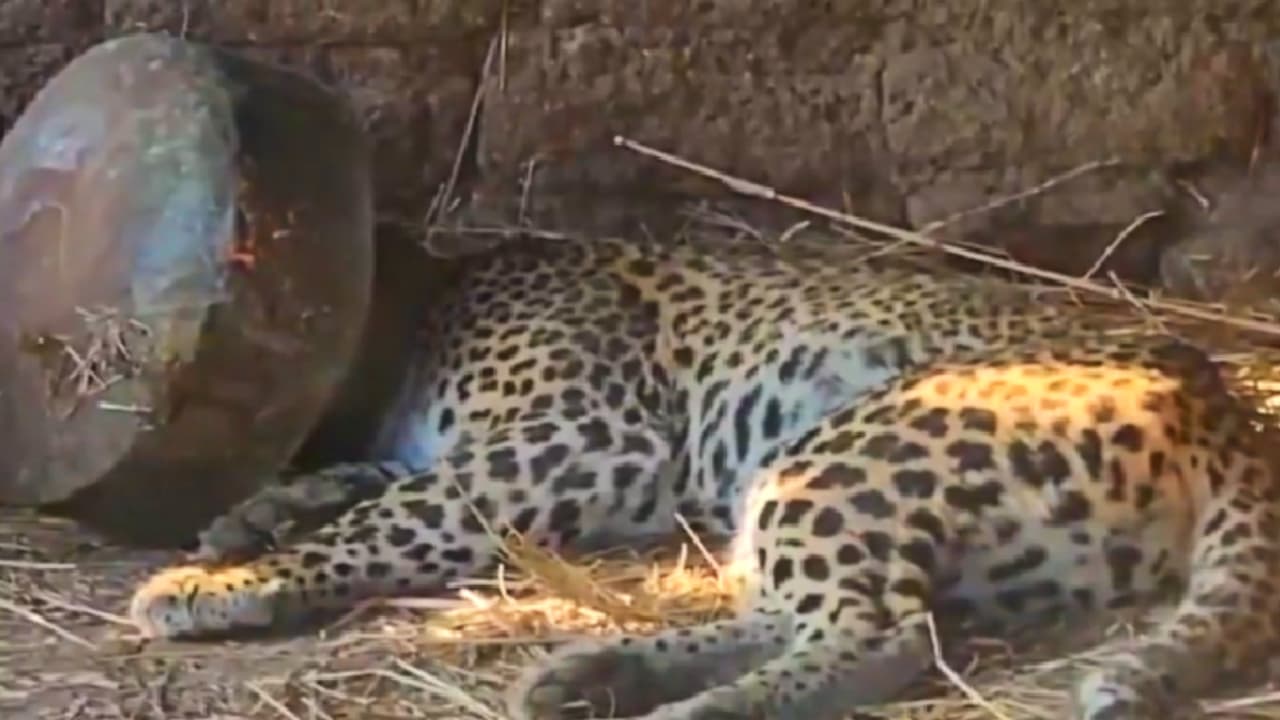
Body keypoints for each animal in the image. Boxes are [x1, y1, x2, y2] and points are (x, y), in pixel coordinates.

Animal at [127, 231, 1280, 720]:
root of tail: (1217, 394)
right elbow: (371, 482)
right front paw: (251, 517)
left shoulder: (577, 444)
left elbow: (390, 515)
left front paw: (220, 582)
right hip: (805, 490)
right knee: (801, 610)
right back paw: (591, 675)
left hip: (848, 451)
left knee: (882, 634)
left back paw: (695, 710)